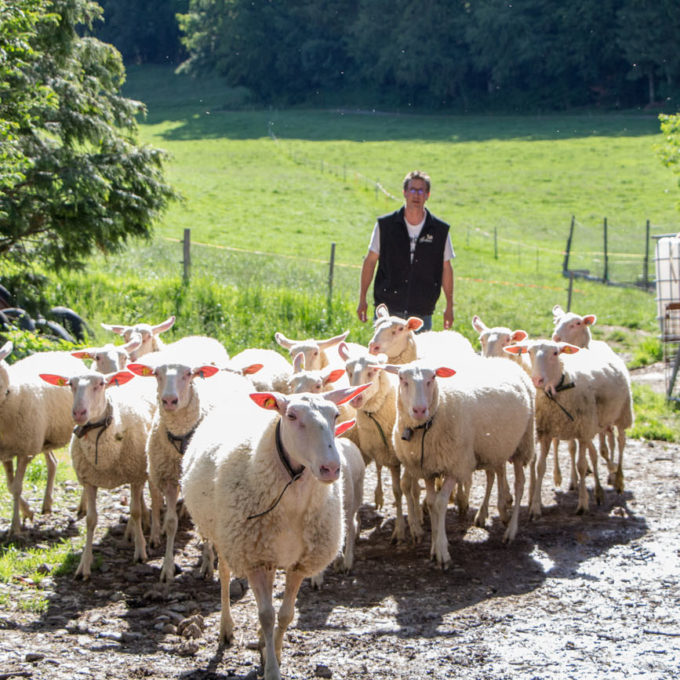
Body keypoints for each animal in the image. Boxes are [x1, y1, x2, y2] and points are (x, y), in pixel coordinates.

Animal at [0, 342, 84, 532]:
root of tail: (59, 352)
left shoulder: (25, 449)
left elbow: (16, 488)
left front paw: (15, 528)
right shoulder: (5, 453)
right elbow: (10, 486)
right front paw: (27, 512)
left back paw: (83, 508)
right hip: (45, 439)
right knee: (52, 462)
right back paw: (47, 504)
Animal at [40, 366, 156, 580]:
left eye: (101, 384)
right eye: (70, 384)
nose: (78, 412)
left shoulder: (135, 476)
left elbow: (134, 511)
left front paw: (140, 551)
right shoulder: (89, 481)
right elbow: (91, 520)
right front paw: (84, 565)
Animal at [181, 386, 366, 676]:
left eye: (336, 415)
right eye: (291, 415)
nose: (331, 468)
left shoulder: (300, 563)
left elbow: (285, 614)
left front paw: (274, 653)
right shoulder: (255, 559)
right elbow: (266, 615)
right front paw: (271, 670)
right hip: (227, 538)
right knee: (225, 576)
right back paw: (226, 628)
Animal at [386, 354, 532, 564]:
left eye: (432, 378)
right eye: (401, 378)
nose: (419, 410)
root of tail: (506, 360)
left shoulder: (455, 465)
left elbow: (440, 503)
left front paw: (442, 552)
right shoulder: (428, 468)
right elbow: (432, 503)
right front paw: (434, 547)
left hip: (523, 444)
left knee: (520, 484)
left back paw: (510, 531)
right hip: (494, 447)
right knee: (494, 475)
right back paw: (492, 512)